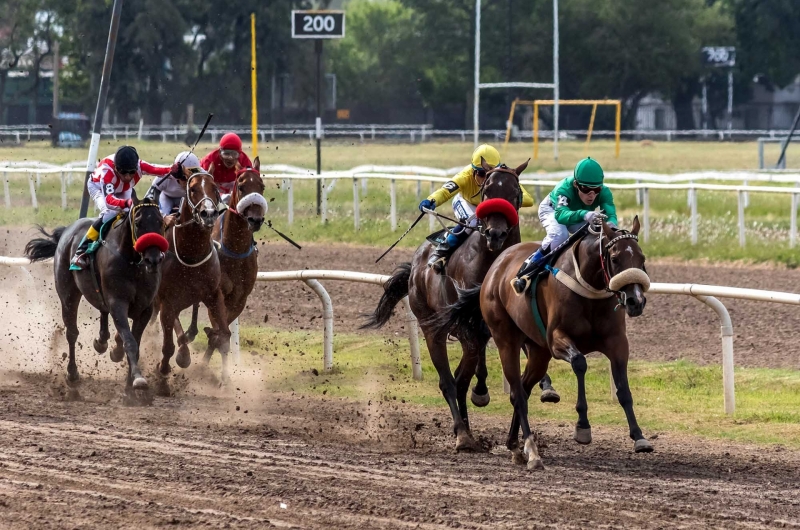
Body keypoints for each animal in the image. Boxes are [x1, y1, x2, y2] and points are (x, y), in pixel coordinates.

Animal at [23, 196, 167, 398]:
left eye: (160, 222)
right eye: (138, 223)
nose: (153, 259)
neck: (132, 263)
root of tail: (67, 230)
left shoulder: (145, 308)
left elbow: (135, 343)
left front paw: (129, 388)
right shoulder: (118, 303)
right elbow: (130, 342)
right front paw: (138, 380)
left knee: (102, 311)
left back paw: (102, 342)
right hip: (68, 293)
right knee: (72, 332)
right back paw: (73, 376)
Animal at [155, 171, 231, 386]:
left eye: (215, 188)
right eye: (193, 189)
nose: (209, 213)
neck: (191, 255)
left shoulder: (213, 295)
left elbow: (224, 335)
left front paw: (225, 381)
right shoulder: (167, 301)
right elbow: (168, 345)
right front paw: (165, 368)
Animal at [182, 157, 268, 360]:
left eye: (262, 186)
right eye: (242, 187)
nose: (255, 220)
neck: (235, 251)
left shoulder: (240, 298)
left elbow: (222, 334)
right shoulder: (216, 293)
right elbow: (219, 335)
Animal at [440, 217, 652, 468]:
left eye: (642, 259)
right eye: (615, 258)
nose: (636, 301)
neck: (589, 288)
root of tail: (496, 266)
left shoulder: (617, 344)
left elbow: (623, 390)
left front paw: (639, 437)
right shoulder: (557, 339)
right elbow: (580, 363)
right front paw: (582, 426)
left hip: (538, 352)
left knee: (521, 390)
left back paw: (515, 445)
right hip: (506, 339)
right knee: (518, 394)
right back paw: (532, 452)